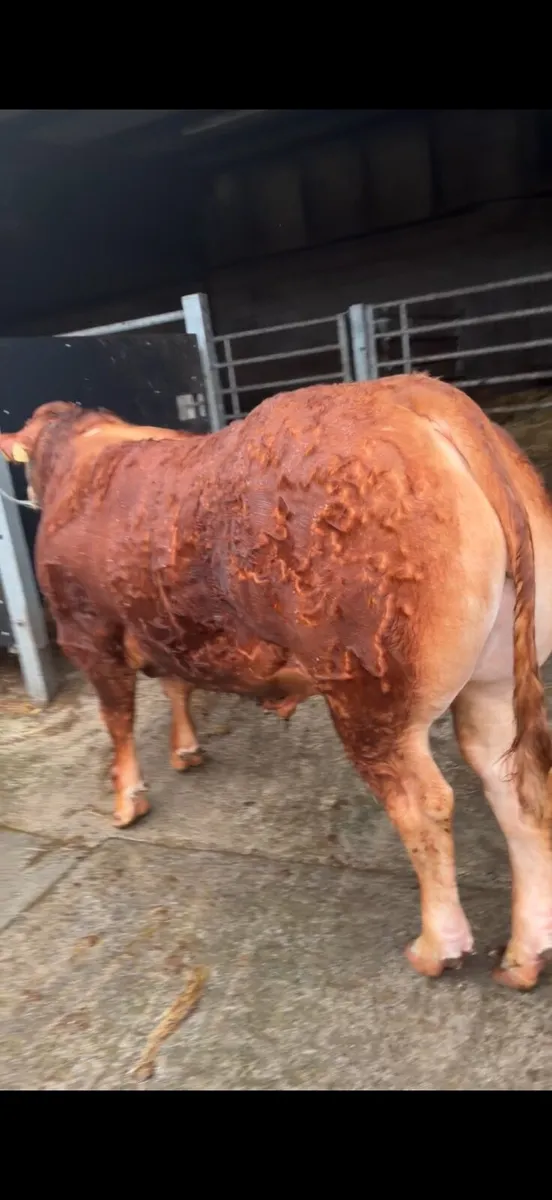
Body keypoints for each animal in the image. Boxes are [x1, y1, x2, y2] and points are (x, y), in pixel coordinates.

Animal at [2, 374, 552, 992]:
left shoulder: (87, 633)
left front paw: (127, 800)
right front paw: (186, 751)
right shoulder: (168, 627)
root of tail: (414, 394)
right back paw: (525, 955)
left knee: (424, 805)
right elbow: (176, 686)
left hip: (370, 695)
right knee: (516, 786)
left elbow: (118, 719)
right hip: (493, 681)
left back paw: (438, 947)